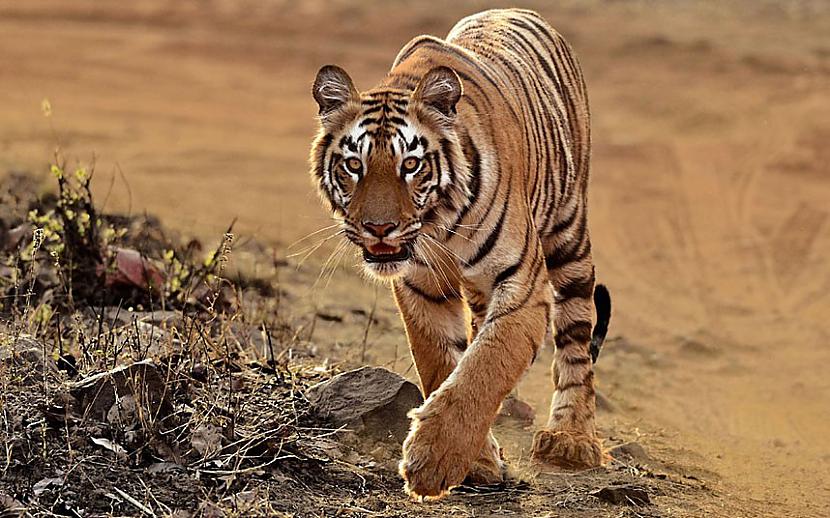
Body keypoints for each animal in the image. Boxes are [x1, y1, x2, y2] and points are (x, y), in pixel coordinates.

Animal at [308, 7, 616, 500]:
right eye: (354, 165)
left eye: (410, 165)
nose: (379, 228)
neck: (440, 223)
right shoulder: (421, 286)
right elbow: (444, 361)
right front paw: (478, 461)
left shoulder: (524, 286)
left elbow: (486, 364)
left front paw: (435, 458)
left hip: (569, 239)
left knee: (576, 340)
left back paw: (571, 439)